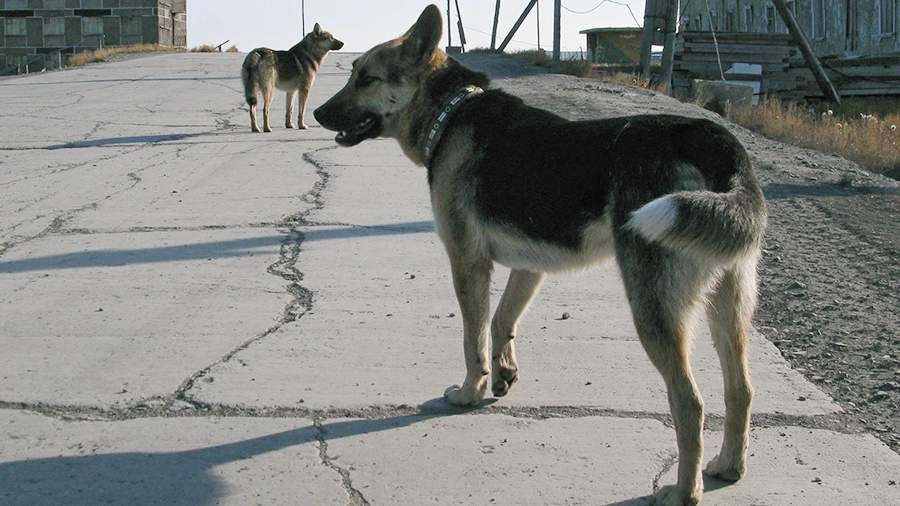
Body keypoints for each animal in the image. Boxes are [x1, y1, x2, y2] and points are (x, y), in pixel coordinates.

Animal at [314, 5, 768, 504]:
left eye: (365, 78)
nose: (316, 112)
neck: (450, 113)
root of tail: (718, 141)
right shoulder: (528, 267)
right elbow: (501, 322)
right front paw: (503, 374)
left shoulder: (467, 262)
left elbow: (473, 338)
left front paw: (470, 392)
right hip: (729, 307)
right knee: (741, 390)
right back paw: (729, 466)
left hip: (654, 310)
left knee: (690, 403)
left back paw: (684, 492)